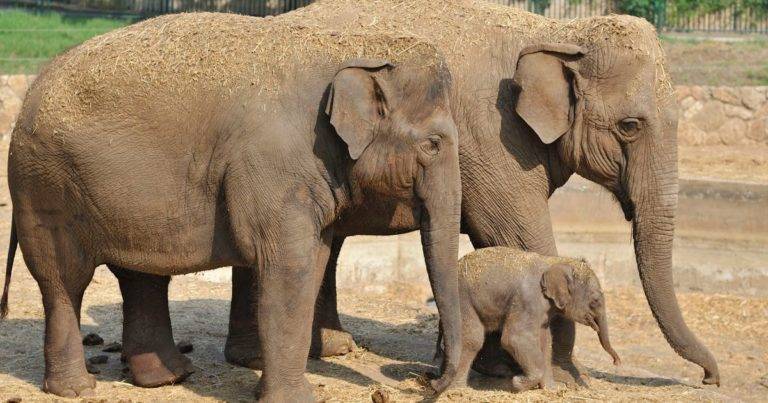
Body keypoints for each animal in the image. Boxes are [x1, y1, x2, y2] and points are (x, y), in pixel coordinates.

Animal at [0, 13, 464, 400]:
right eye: (433, 144)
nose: (427, 381)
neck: (351, 44)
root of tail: (28, 96)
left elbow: (313, 259)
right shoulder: (273, 164)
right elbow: (289, 265)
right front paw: (296, 399)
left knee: (140, 274)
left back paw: (169, 377)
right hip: (46, 187)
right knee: (64, 281)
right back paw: (77, 389)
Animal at [434, 247, 620, 392]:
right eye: (595, 301)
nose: (616, 362)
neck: (555, 262)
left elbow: (544, 341)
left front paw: (552, 390)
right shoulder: (528, 299)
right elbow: (514, 338)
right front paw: (517, 382)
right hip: (462, 300)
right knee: (472, 339)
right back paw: (455, 389)